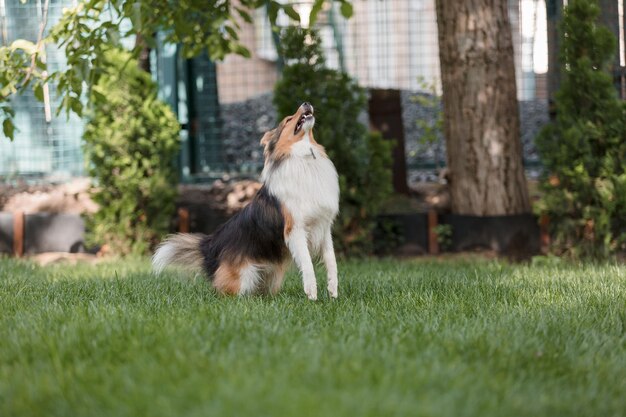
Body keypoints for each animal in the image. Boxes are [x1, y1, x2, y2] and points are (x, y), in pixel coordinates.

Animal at [153, 103, 338, 300]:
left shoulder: (324, 227)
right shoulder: (295, 229)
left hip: (273, 275)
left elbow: (331, 260)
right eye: (288, 119)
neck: (304, 157)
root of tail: (210, 245)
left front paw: (333, 291)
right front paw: (312, 293)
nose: (306, 103)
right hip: (244, 277)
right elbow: (307, 262)